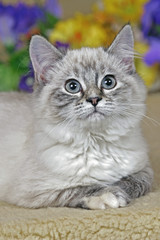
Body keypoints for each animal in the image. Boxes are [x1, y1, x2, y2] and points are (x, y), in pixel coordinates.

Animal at [0, 25, 153, 209]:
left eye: (108, 82)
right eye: (72, 86)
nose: (94, 99)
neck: (96, 142)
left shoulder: (144, 169)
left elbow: (134, 181)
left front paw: (120, 189)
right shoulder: (37, 191)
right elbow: (84, 187)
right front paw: (111, 196)